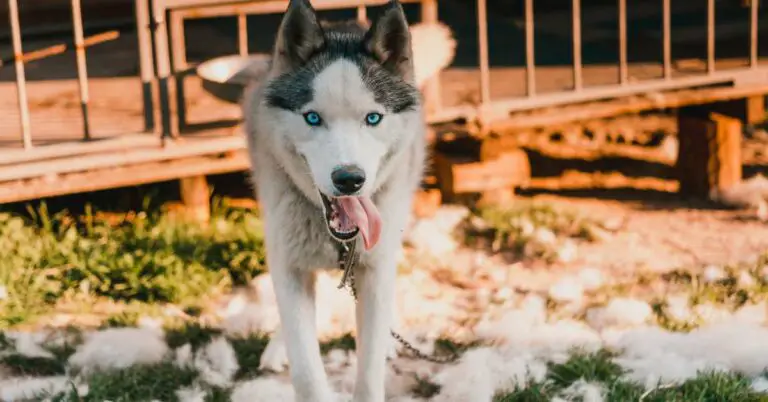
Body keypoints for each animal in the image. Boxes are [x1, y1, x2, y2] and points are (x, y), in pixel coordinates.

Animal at [243, 1, 428, 400]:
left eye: (373, 118)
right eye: (313, 118)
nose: (349, 179)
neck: (338, 240)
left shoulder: (374, 268)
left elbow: (370, 372)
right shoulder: (289, 266)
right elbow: (306, 371)